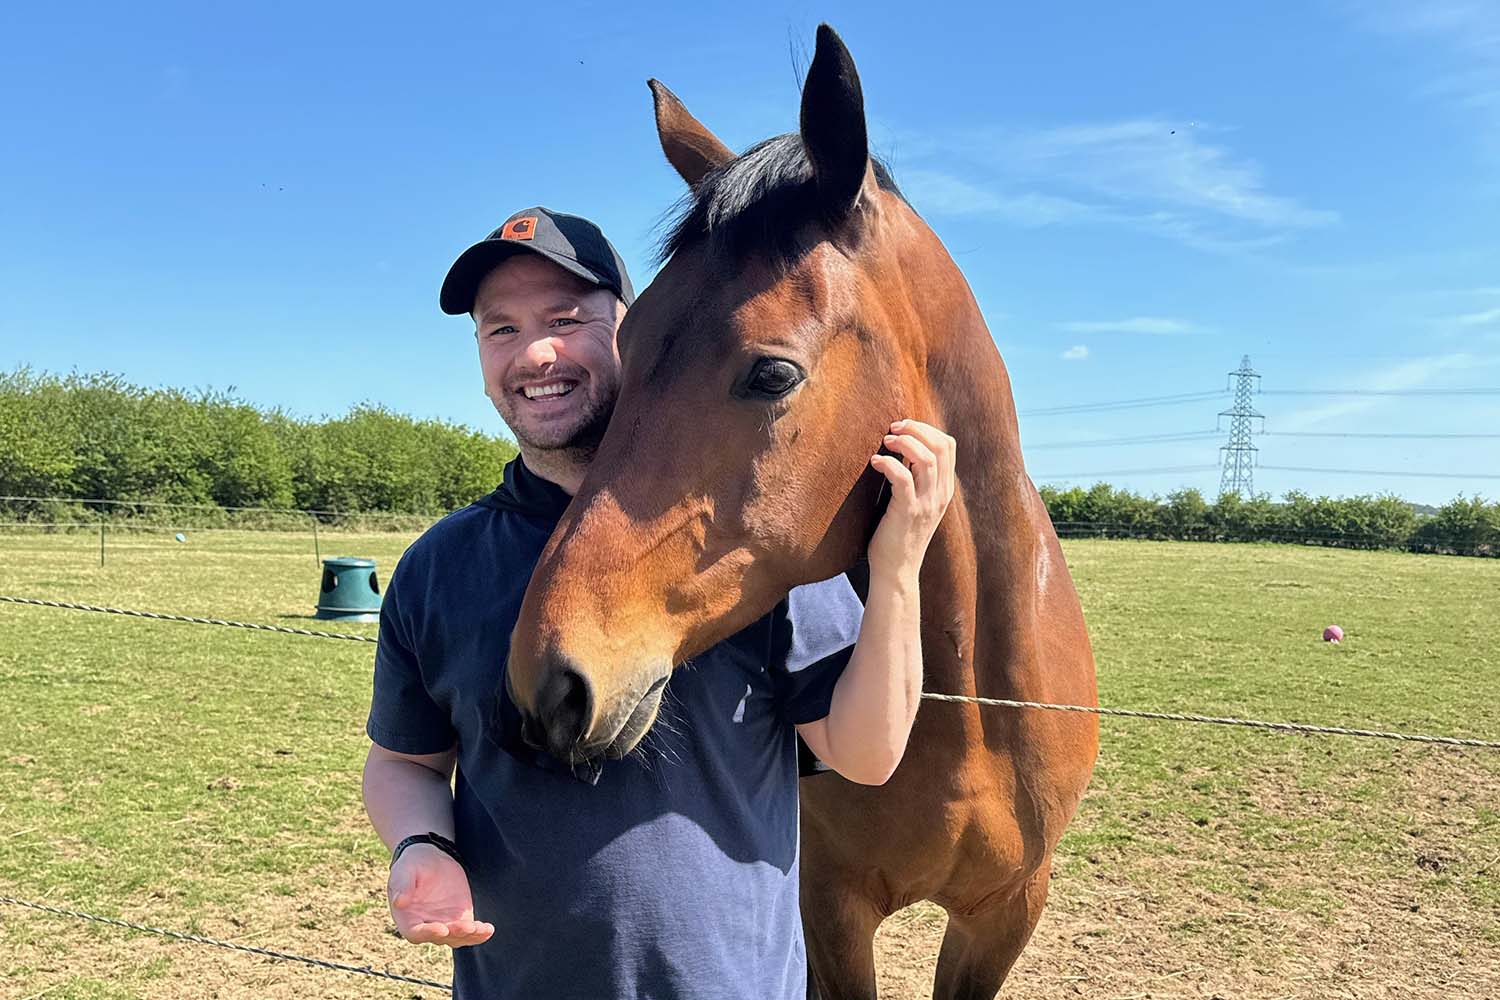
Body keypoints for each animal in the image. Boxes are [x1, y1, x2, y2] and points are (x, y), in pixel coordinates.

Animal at [510, 23, 1098, 1000]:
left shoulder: (1008, 911)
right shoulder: (829, 905)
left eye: (772, 373)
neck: (966, 705)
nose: (549, 682)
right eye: (625, 344)